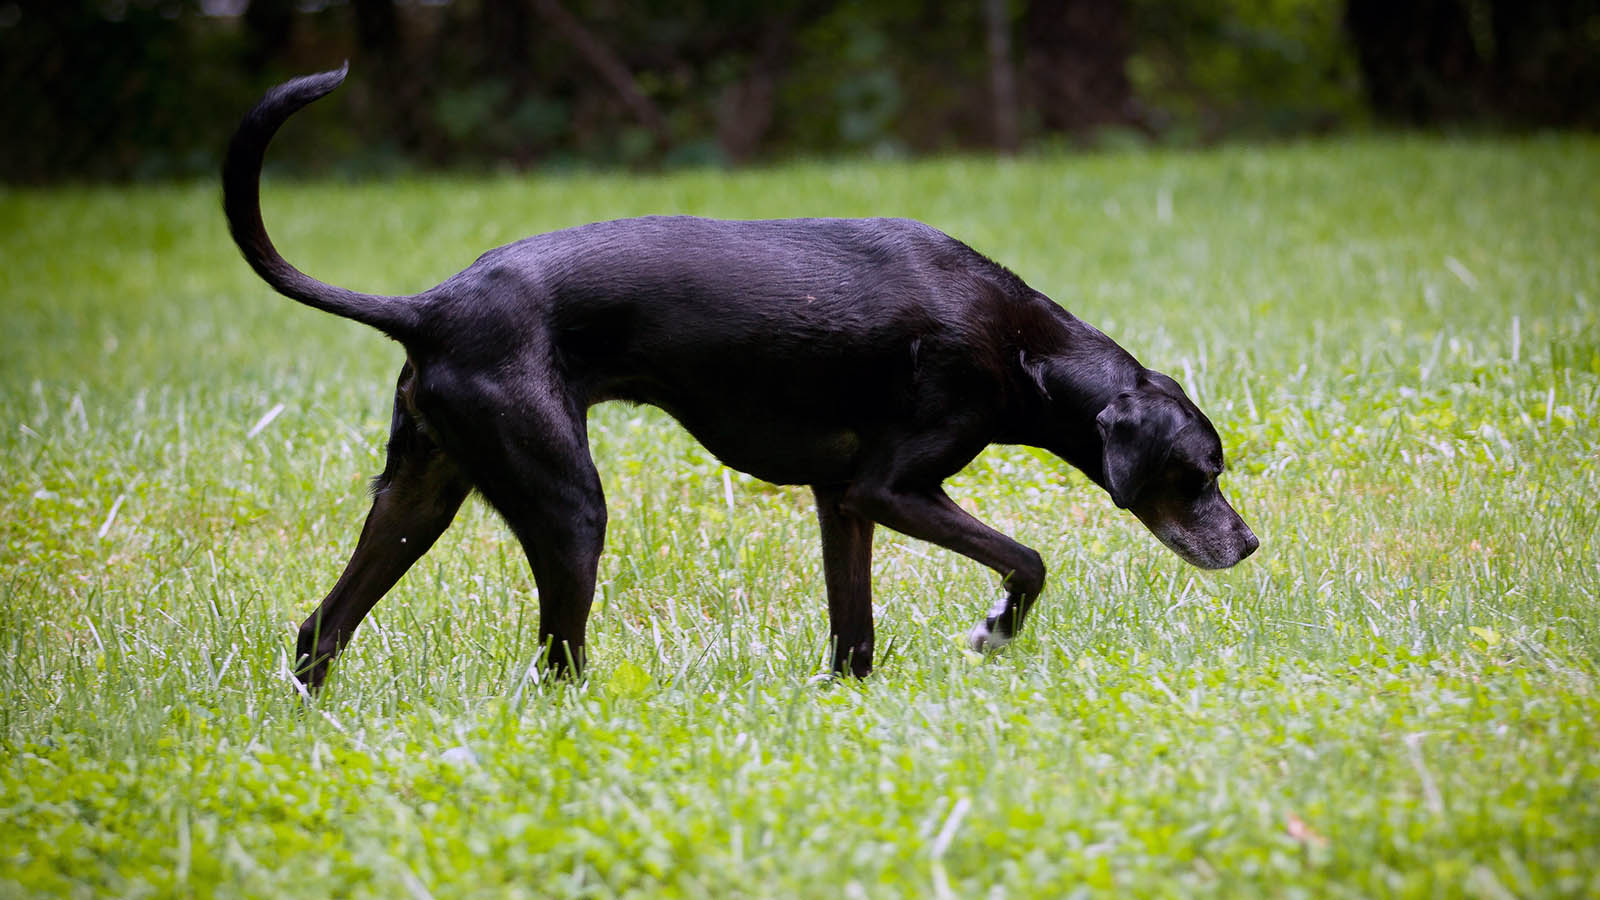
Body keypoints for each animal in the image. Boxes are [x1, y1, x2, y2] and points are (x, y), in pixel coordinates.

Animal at [222, 68, 1260, 685]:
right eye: (1200, 474)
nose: (1247, 544)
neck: (1019, 345)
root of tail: (429, 305)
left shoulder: (844, 501)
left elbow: (855, 635)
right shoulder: (892, 488)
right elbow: (1029, 559)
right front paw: (996, 628)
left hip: (421, 497)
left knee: (321, 630)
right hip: (567, 509)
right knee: (554, 662)